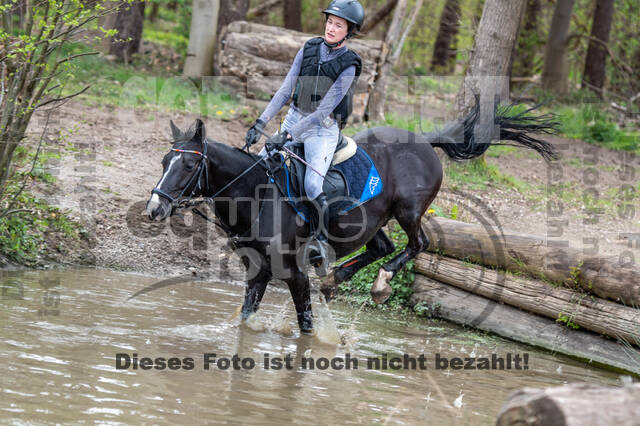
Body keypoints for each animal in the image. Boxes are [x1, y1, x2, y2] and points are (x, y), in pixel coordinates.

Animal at [145, 101, 556, 334]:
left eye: (189, 165)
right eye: (165, 161)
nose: (154, 209)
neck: (257, 196)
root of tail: (425, 141)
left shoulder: (293, 273)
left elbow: (306, 327)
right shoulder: (258, 271)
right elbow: (246, 318)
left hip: (407, 209)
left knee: (417, 243)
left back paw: (380, 282)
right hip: (369, 221)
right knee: (383, 246)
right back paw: (336, 278)